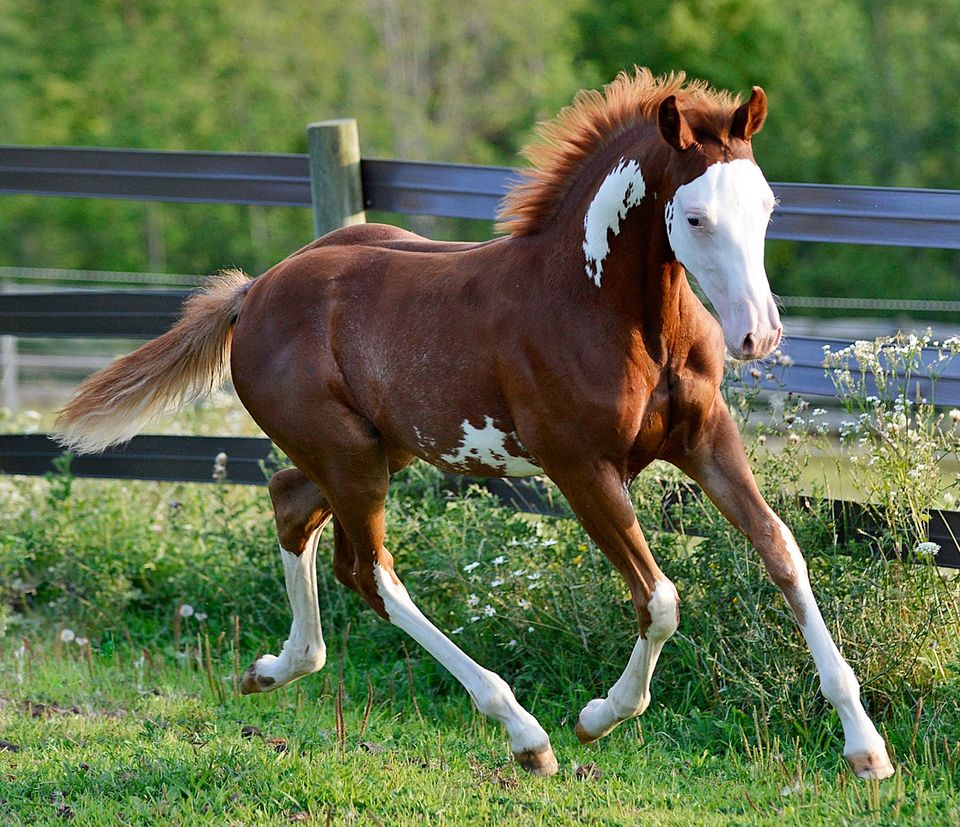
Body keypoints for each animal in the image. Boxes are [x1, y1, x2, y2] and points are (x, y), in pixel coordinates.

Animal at [52, 68, 892, 780]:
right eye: (694, 215)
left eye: (768, 206)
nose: (760, 335)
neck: (600, 306)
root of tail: (254, 291)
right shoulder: (581, 467)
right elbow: (660, 599)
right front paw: (597, 717)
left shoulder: (705, 438)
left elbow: (783, 550)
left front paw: (866, 749)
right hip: (351, 458)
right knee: (370, 571)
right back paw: (524, 732)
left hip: (372, 450)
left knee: (292, 505)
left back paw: (274, 667)